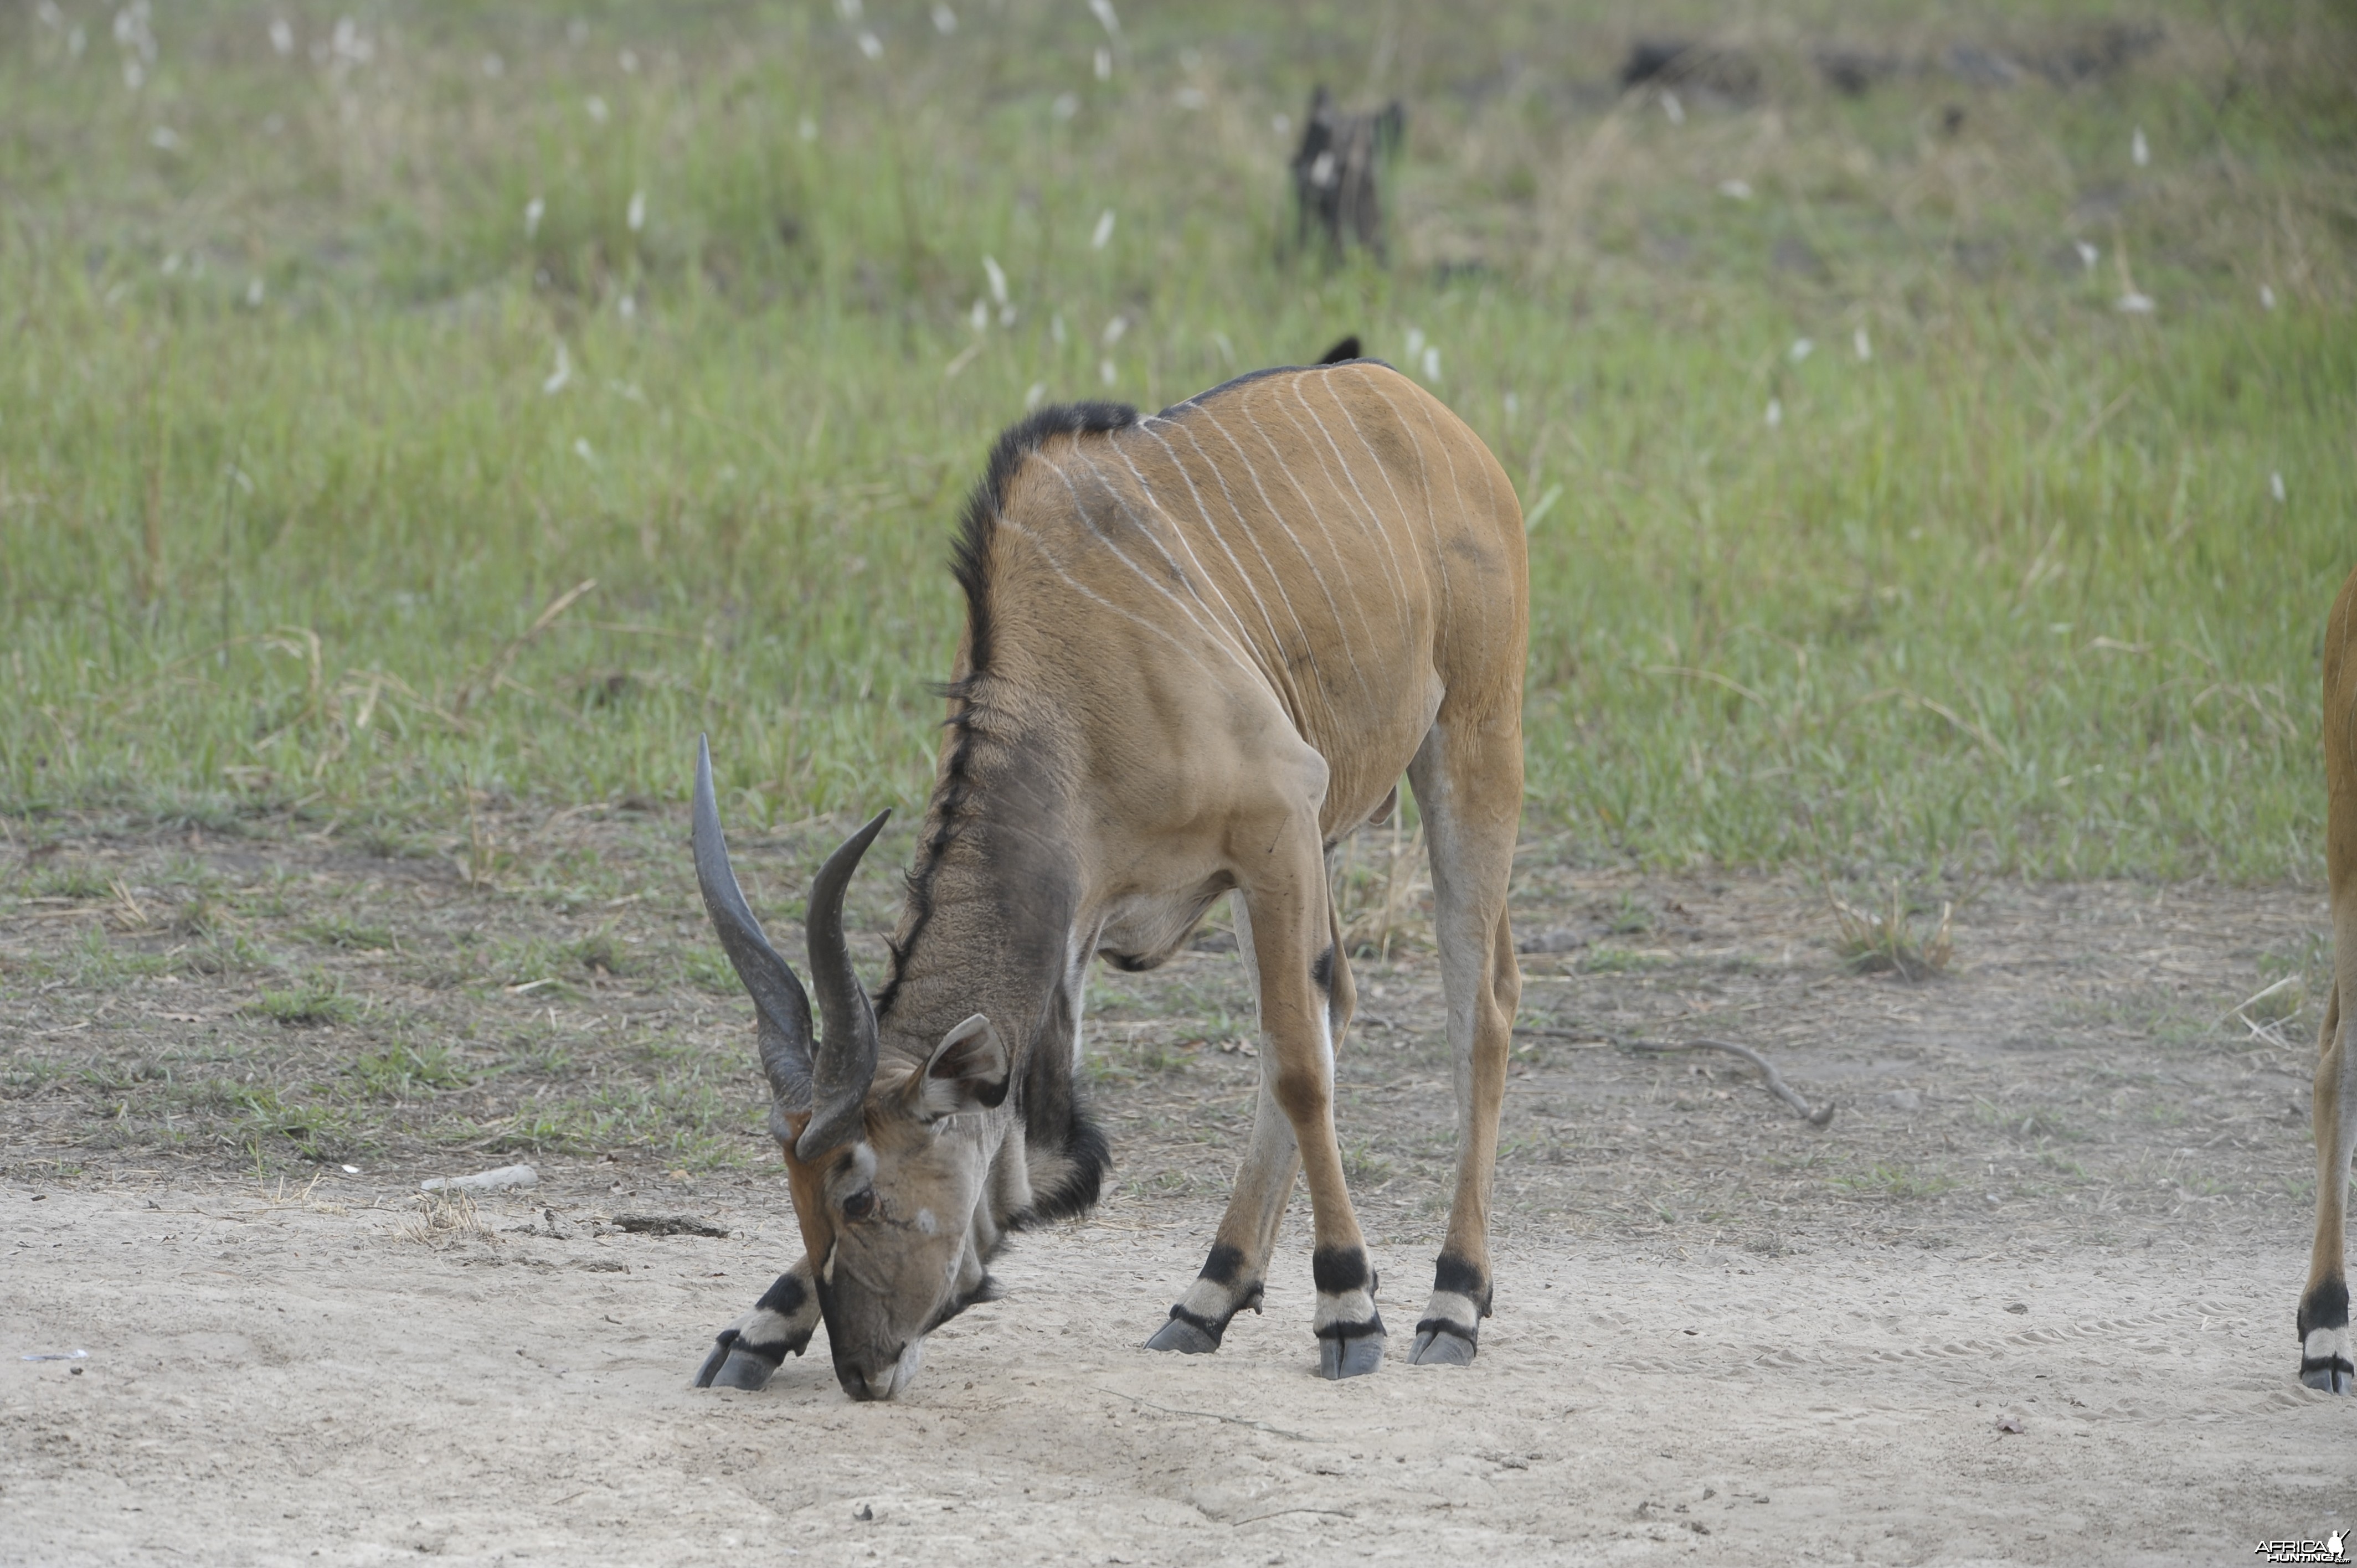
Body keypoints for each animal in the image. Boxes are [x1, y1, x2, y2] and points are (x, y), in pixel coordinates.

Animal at [688, 347, 1527, 1396]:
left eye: (862, 1198)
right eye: (801, 1198)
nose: (862, 1369)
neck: (1075, 692)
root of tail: (1407, 399)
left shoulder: (1274, 820)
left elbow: (1299, 1069)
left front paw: (1348, 1305)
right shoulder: (1100, 917)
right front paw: (760, 1327)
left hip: (1470, 742)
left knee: (1475, 1011)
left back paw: (1453, 1300)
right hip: (1320, 845)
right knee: (1336, 1002)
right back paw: (1209, 1294)